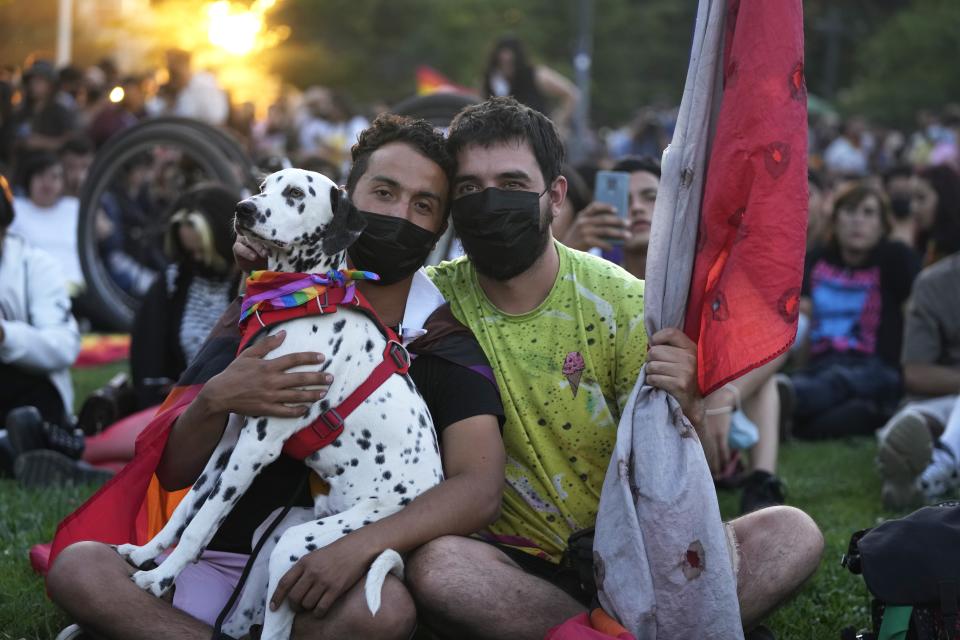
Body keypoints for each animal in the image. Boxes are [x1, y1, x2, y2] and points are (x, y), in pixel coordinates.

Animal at [115, 169, 442, 640]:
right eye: (263, 185)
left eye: (294, 193)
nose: (243, 209)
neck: (301, 300)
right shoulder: (231, 436)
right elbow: (189, 509)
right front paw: (147, 553)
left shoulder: (257, 447)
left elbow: (201, 525)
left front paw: (159, 579)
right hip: (274, 536)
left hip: (299, 548)